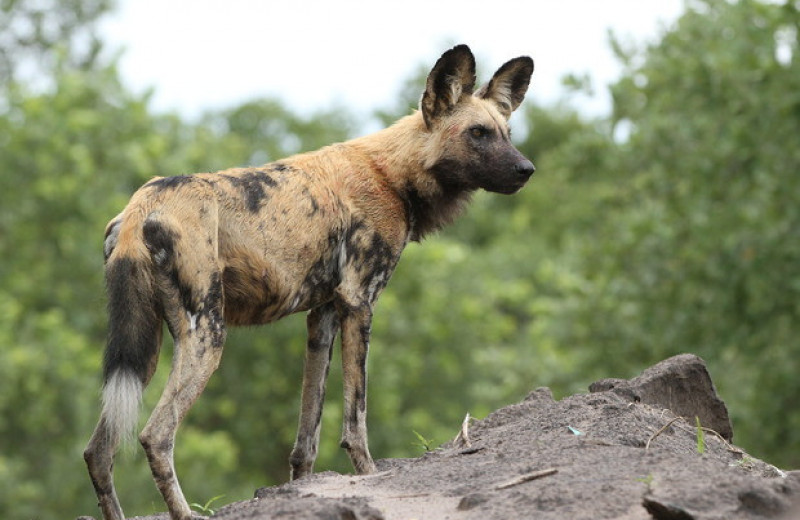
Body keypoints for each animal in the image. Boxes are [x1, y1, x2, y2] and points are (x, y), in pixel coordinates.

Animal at [84, 45, 536, 520]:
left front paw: (300, 490)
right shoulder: (359, 303)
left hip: (145, 348)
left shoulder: (323, 316)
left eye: (506, 132)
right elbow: (356, 420)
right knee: (155, 435)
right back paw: (184, 511)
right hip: (206, 336)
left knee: (99, 450)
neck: (395, 173)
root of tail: (142, 204)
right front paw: (368, 474)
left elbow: (307, 436)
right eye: (477, 133)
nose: (526, 169)